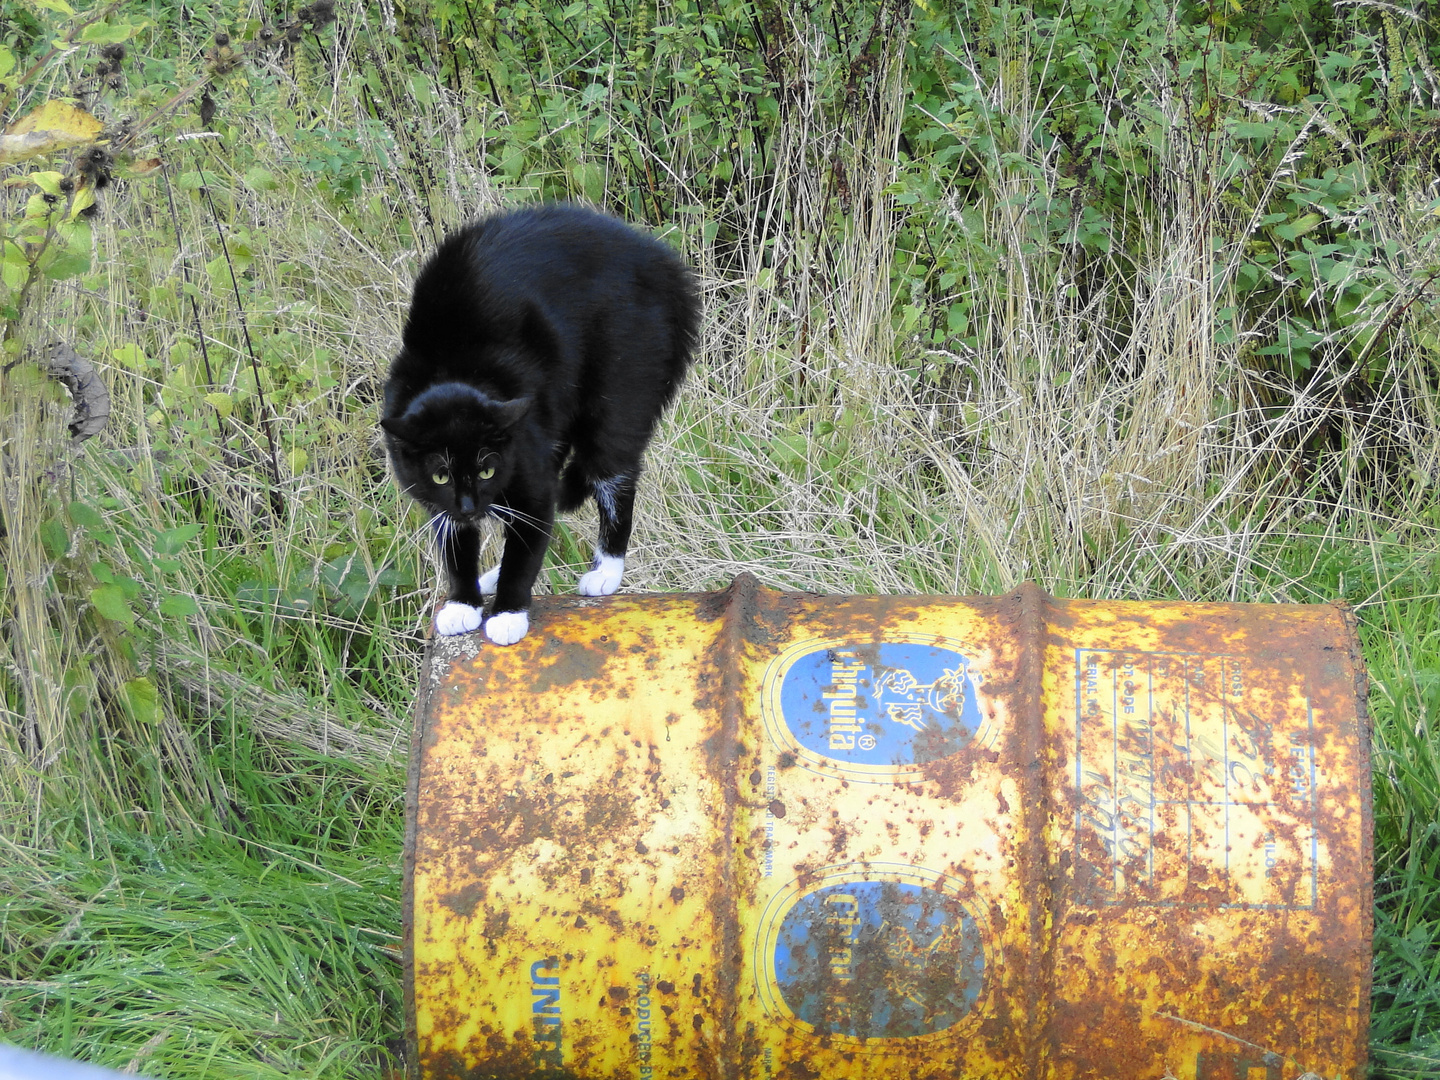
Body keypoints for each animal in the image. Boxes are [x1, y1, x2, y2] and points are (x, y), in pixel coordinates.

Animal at [380, 204, 699, 642]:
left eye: (487, 469)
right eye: (440, 474)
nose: (469, 506)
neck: (452, 368)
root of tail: (666, 266)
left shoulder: (530, 473)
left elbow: (527, 544)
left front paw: (507, 614)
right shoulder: (439, 503)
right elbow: (457, 548)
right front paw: (463, 604)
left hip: (619, 391)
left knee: (614, 477)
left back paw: (605, 573)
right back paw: (490, 577)